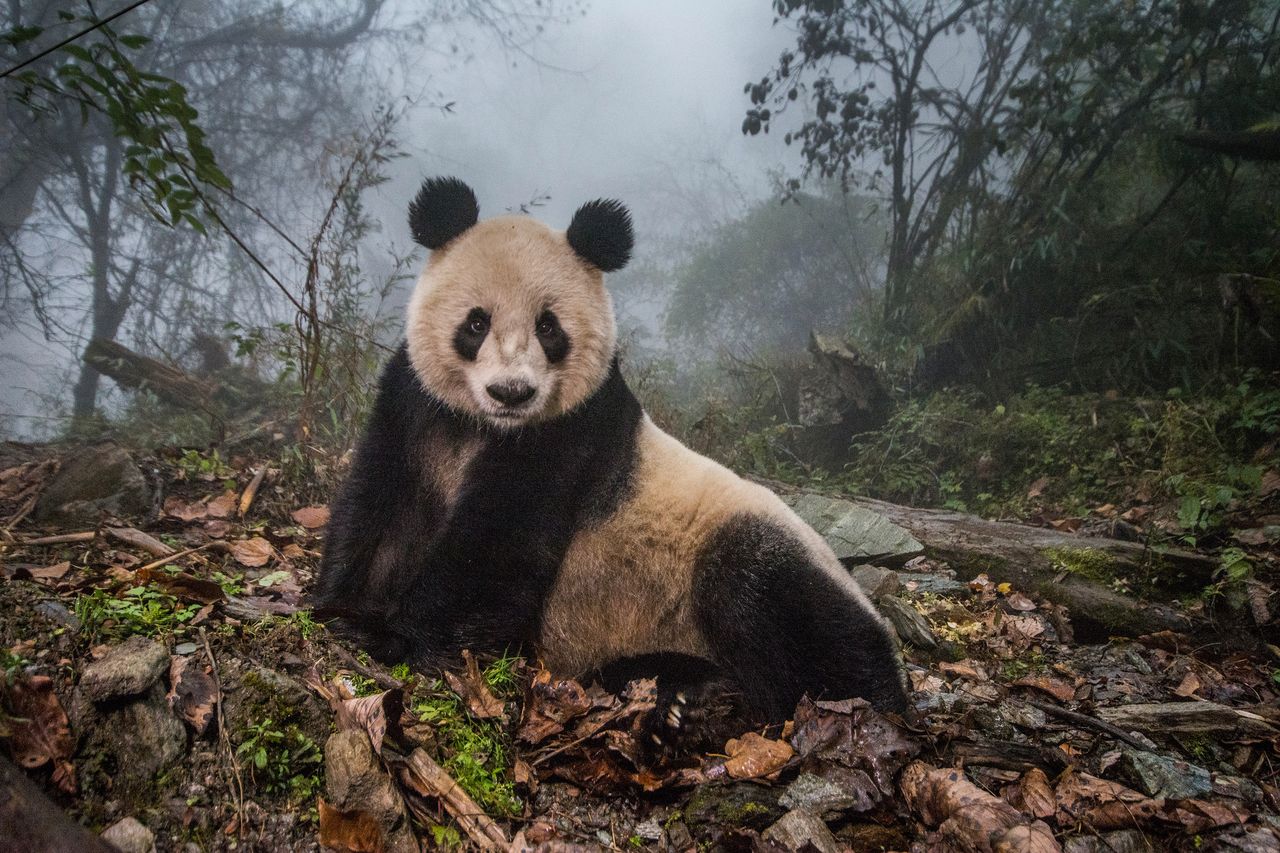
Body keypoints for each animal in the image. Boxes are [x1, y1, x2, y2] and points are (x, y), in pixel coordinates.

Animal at [313, 175, 906, 747]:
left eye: (548, 327)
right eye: (476, 323)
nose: (512, 392)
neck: (485, 427)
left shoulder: (571, 433)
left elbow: (497, 549)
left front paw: (391, 634)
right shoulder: (414, 404)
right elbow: (380, 505)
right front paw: (340, 606)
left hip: (750, 547)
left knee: (781, 606)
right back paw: (685, 695)